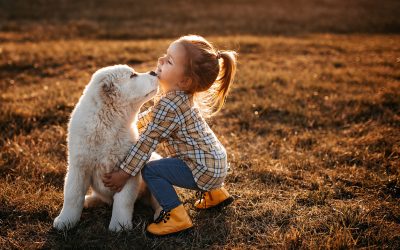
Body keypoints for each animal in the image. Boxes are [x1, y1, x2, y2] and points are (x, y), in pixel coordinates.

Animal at [54, 65, 162, 232]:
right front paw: (65, 221)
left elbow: (123, 201)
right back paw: (89, 200)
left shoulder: (125, 171)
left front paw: (119, 225)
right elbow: (72, 195)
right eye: (132, 76)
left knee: (157, 200)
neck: (108, 123)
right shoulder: (79, 166)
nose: (154, 72)